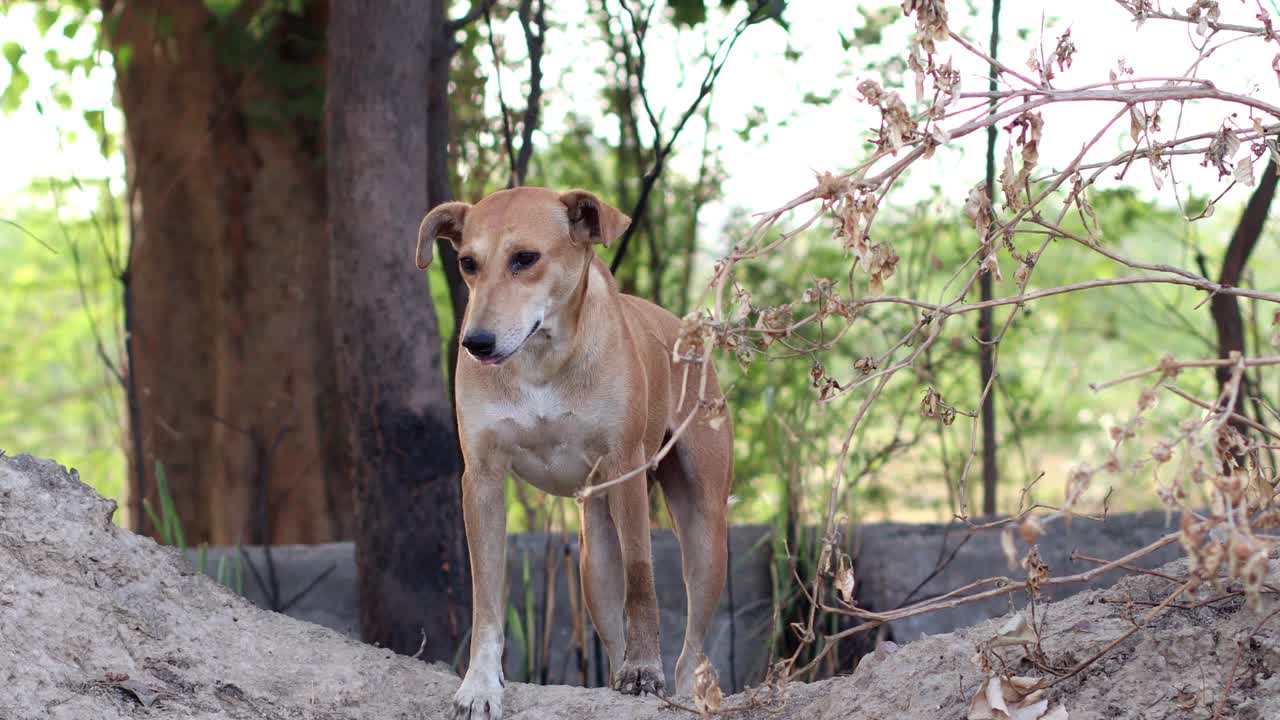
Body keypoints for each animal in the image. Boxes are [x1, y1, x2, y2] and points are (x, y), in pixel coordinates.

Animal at [412, 185, 732, 717]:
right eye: (467, 263)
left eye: (525, 259)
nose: (476, 342)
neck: (540, 362)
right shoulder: (482, 479)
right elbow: (486, 598)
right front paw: (480, 683)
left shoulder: (625, 469)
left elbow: (642, 581)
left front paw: (645, 670)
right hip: (592, 557)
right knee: (610, 619)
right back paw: (617, 679)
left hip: (705, 530)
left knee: (694, 645)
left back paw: (679, 687)